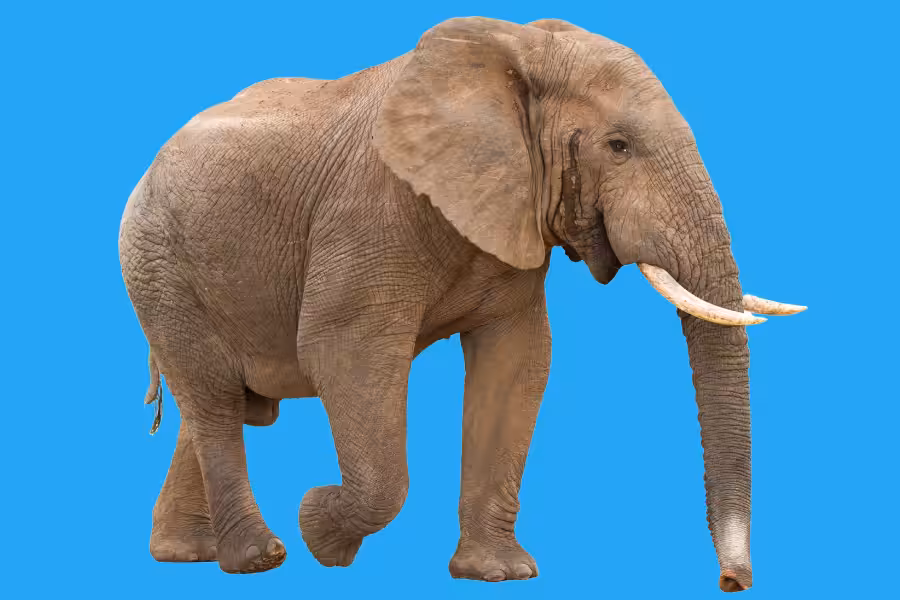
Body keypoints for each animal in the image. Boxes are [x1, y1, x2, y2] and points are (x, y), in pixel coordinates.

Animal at [118, 16, 805, 591]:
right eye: (618, 146)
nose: (732, 583)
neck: (517, 48)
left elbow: (518, 363)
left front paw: (498, 575)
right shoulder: (372, 210)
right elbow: (343, 355)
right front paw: (322, 534)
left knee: (223, 406)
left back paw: (188, 555)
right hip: (158, 265)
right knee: (214, 400)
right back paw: (259, 560)